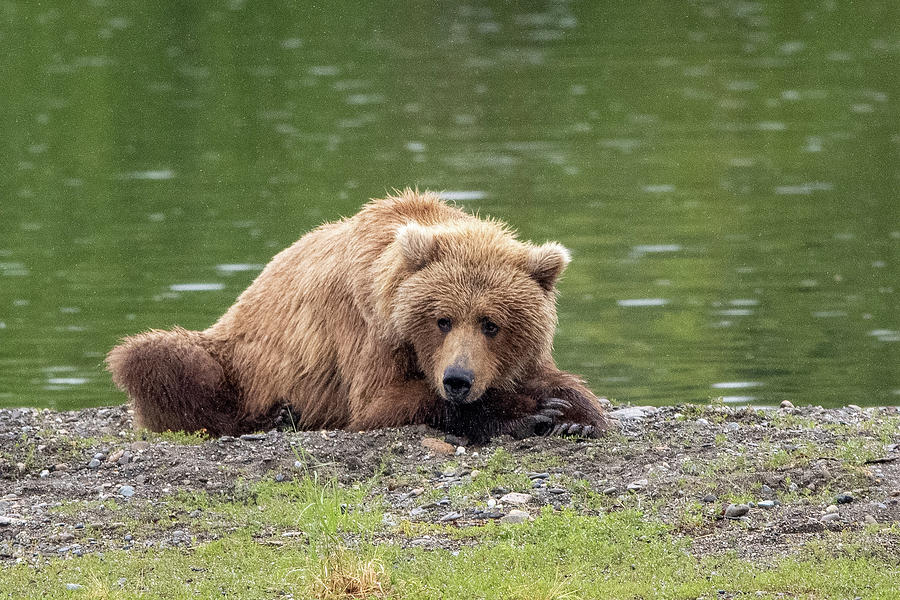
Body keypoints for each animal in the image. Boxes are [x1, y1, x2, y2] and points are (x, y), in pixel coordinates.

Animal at [109, 189, 608, 440]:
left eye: (492, 324)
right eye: (442, 319)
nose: (458, 380)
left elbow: (557, 378)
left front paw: (574, 413)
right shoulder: (367, 330)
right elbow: (380, 403)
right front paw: (531, 411)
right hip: (233, 358)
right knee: (156, 357)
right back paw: (274, 416)